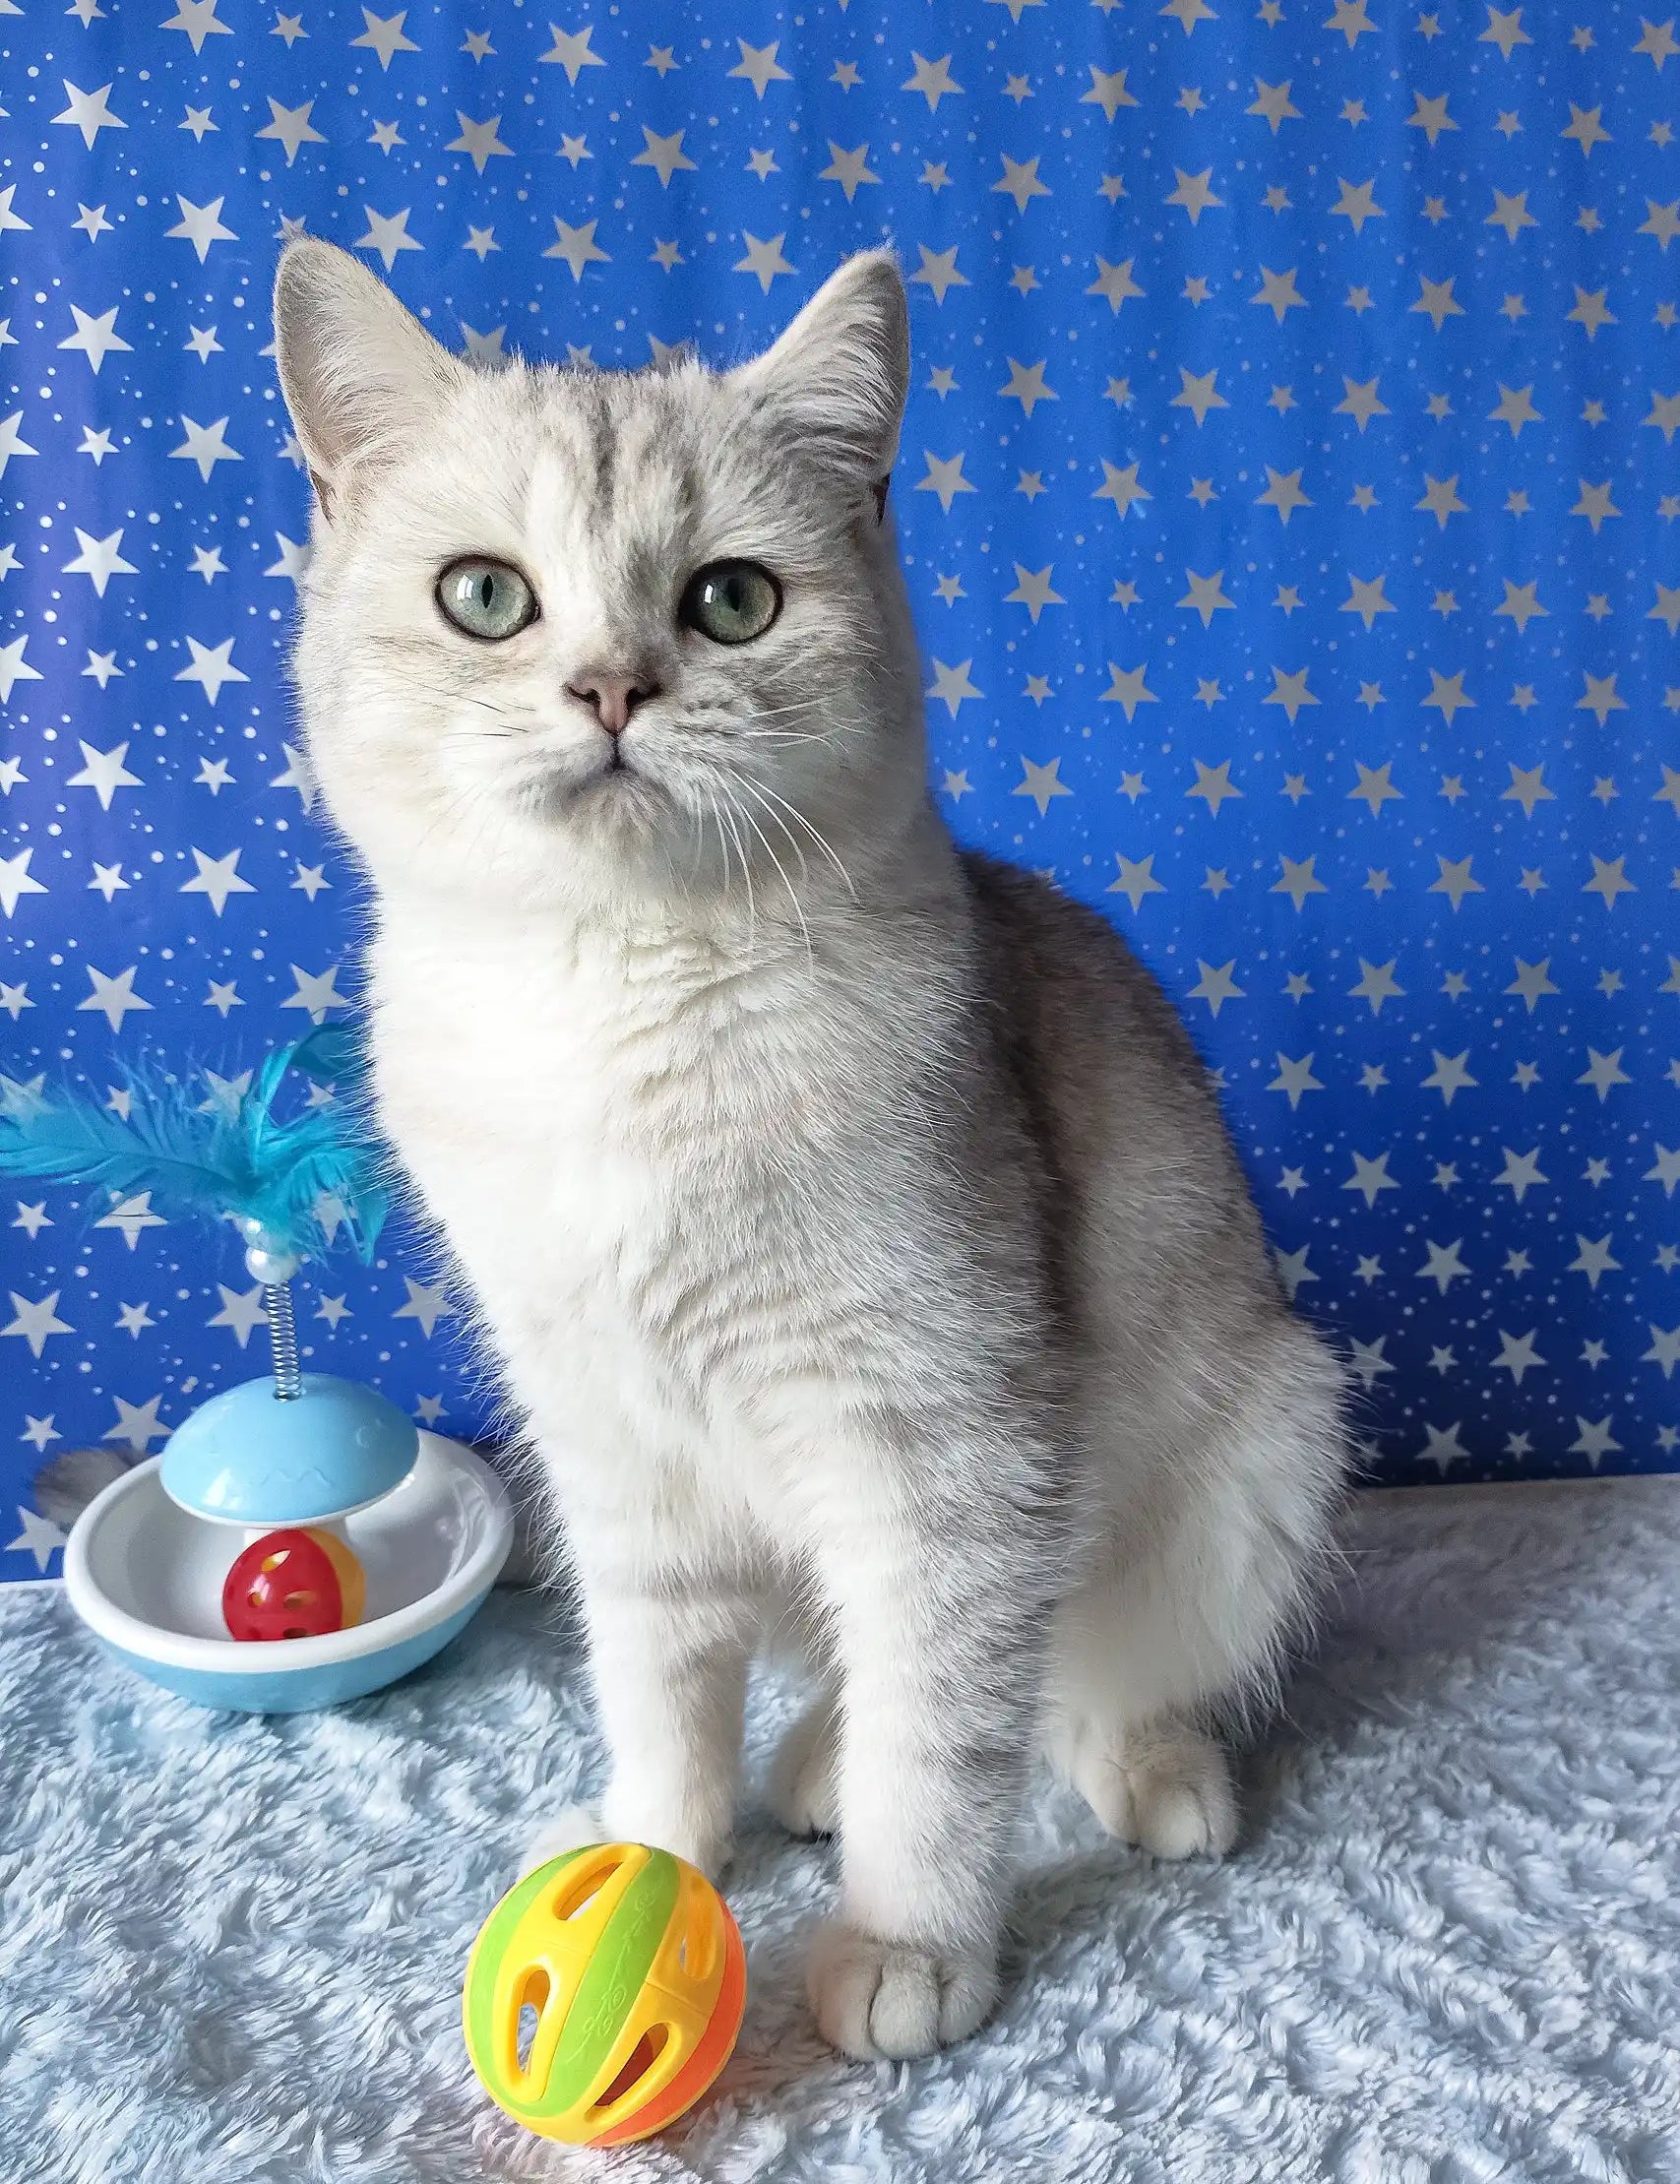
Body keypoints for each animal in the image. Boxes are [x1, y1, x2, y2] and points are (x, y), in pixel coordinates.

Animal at [275, 243, 1345, 2061]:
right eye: (487, 598)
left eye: (729, 603)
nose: (612, 687)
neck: (615, 1009)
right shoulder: (612, 1451)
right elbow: (661, 1694)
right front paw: (653, 1847)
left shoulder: (944, 1437)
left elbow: (944, 1731)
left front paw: (906, 1943)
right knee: (865, 1677)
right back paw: (808, 1768)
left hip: (1255, 1453)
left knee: (1075, 1681)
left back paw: (1148, 1771)